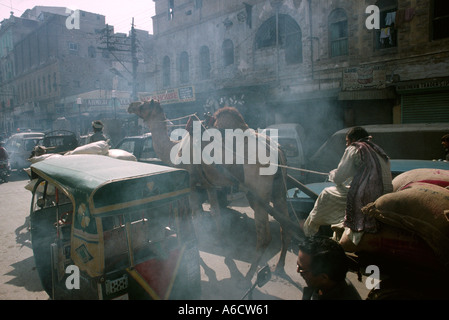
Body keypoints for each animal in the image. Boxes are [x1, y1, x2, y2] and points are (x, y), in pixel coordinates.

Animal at [126, 99, 294, 278]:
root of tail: (277, 150)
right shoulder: (210, 185)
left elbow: (196, 216)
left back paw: (249, 275)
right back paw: (279, 266)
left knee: (264, 235)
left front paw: (197, 249)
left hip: (257, 188)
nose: (130, 106)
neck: (175, 149)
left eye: (143, 105)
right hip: (279, 190)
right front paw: (221, 244)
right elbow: (216, 213)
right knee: (286, 224)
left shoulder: (192, 184)